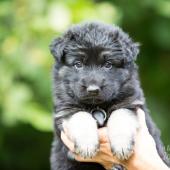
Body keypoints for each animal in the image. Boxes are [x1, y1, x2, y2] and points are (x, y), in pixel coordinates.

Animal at [49, 21, 170, 169]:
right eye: (78, 64)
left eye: (108, 65)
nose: (93, 89)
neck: (97, 106)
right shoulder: (65, 110)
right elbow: (81, 117)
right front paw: (87, 145)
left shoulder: (130, 102)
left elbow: (120, 115)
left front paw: (122, 146)